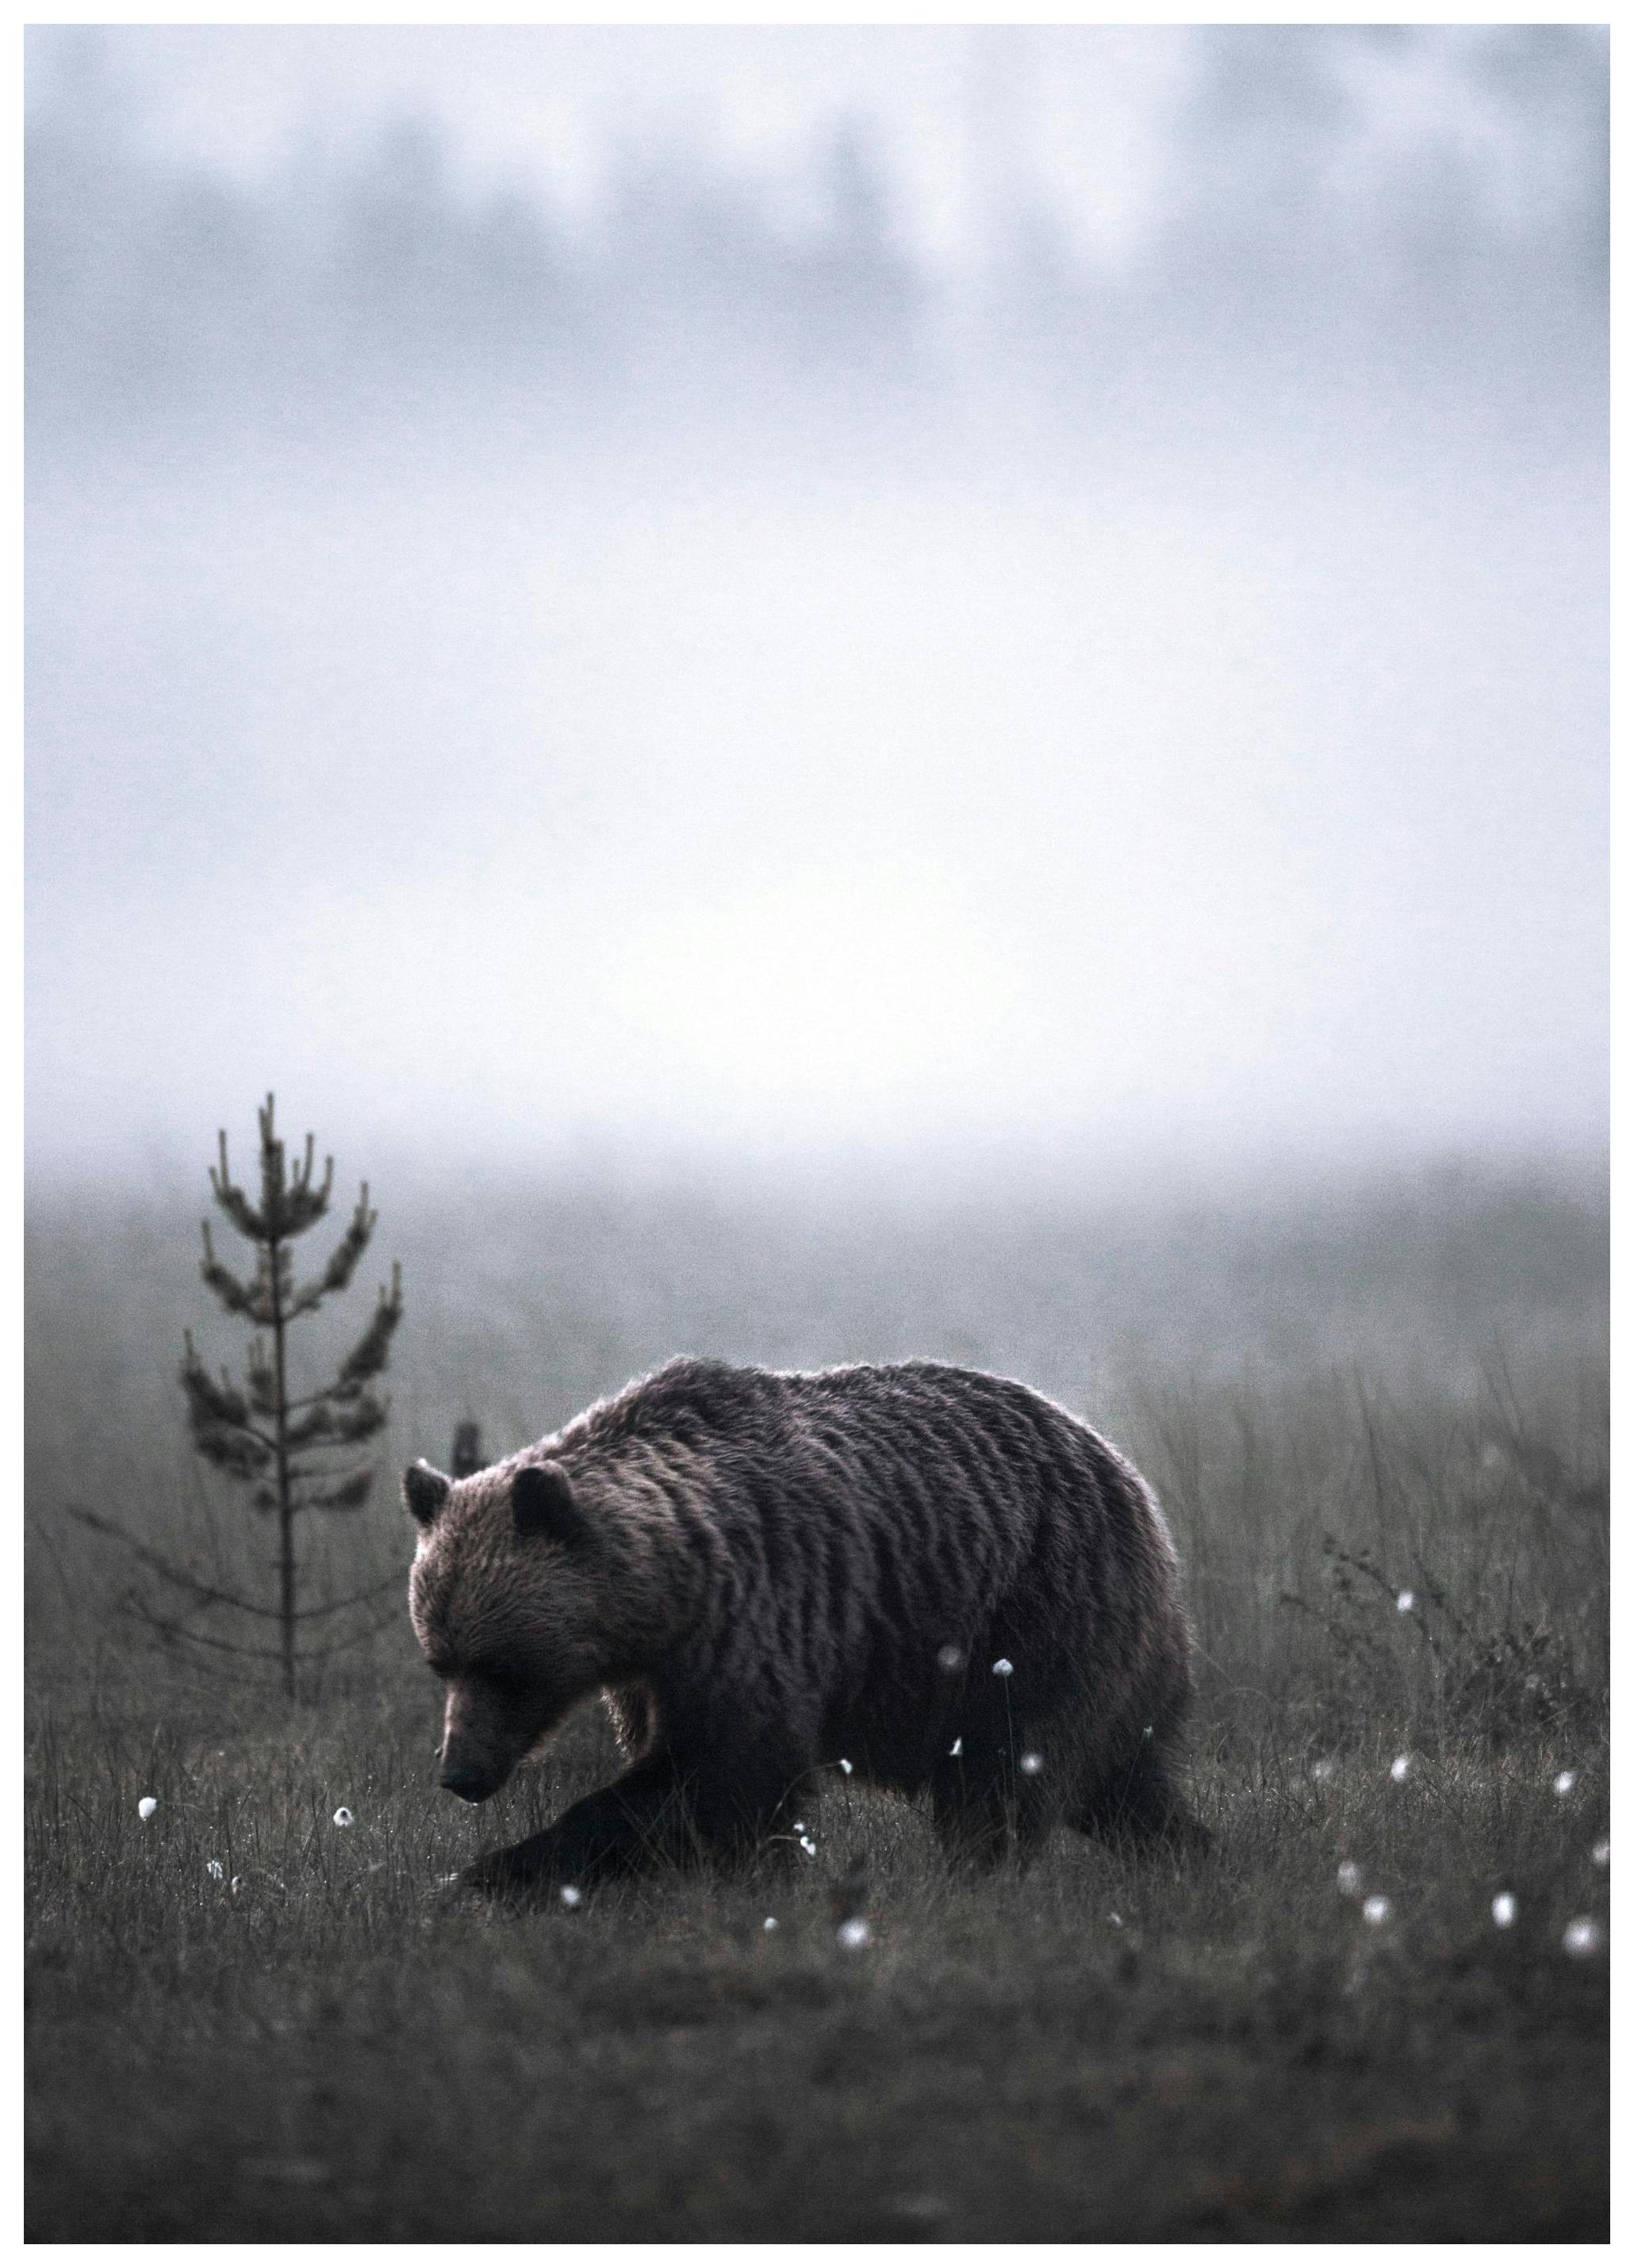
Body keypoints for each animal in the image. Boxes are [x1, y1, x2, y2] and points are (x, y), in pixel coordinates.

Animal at [403, 1356, 1200, 1895]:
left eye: (506, 1665)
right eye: (440, 1661)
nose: (459, 1774)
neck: (666, 1591)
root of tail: (1131, 1478)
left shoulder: (756, 1613)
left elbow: (726, 1772)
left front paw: (491, 1874)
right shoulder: (651, 1673)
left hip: (1034, 1617)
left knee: (1004, 1771)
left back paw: (976, 1878)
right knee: (1122, 1782)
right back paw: (1192, 1854)